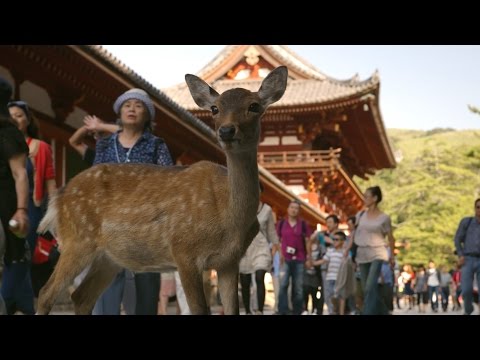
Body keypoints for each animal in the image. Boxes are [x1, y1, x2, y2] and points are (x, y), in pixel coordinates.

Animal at [37, 66, 288, 314]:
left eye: (254, 106)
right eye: (215, 108)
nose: (226, 131)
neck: (229, 220)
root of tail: (58, 197)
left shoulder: (229, 261)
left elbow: (232, 309)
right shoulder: (184, 250)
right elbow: (199, 309)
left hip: (109, 258)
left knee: (82, 296)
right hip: (78, 238)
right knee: (46, 293)